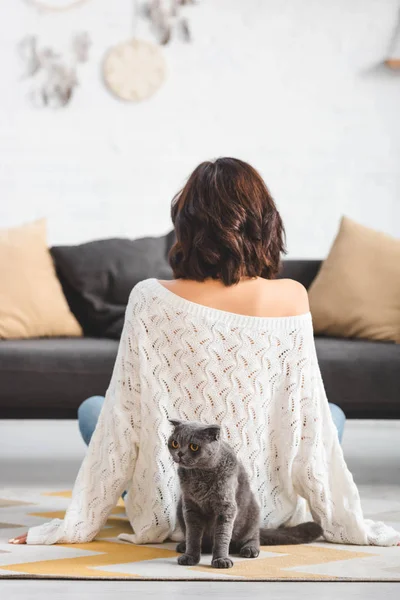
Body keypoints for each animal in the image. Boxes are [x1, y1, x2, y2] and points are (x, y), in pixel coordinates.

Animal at [167, 420, 324, 568]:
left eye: (193, 446)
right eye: (175, 443)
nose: (179, 453)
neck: (199, 476)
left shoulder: (226, 507)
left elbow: (222, 536)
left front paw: (221, 560)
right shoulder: (190, 507)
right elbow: (193, 536)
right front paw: (190, 557)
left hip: (253, 511)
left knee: (254, 536)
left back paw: (249, 549)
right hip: (180, 507)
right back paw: (183, 546)